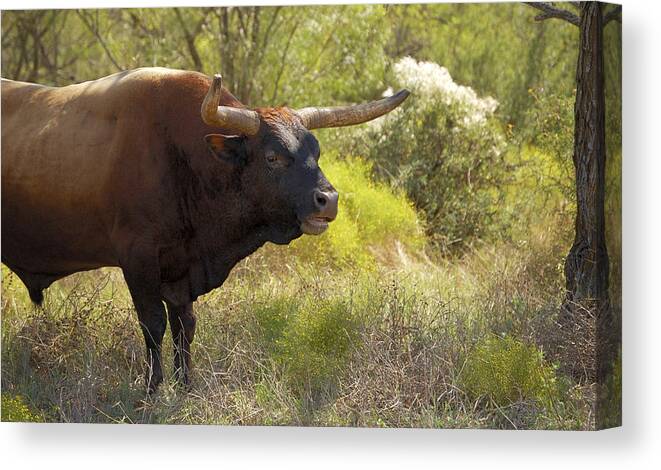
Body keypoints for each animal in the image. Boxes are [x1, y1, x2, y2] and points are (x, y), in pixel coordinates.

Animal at [1, 68, 408, 392]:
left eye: (317, 153)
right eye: (272, 157)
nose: (328, 199)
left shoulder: (180, 269)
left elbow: (185, 326)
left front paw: (185, 386)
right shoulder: (138, 258)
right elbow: (153, 324)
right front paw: (152, 390)